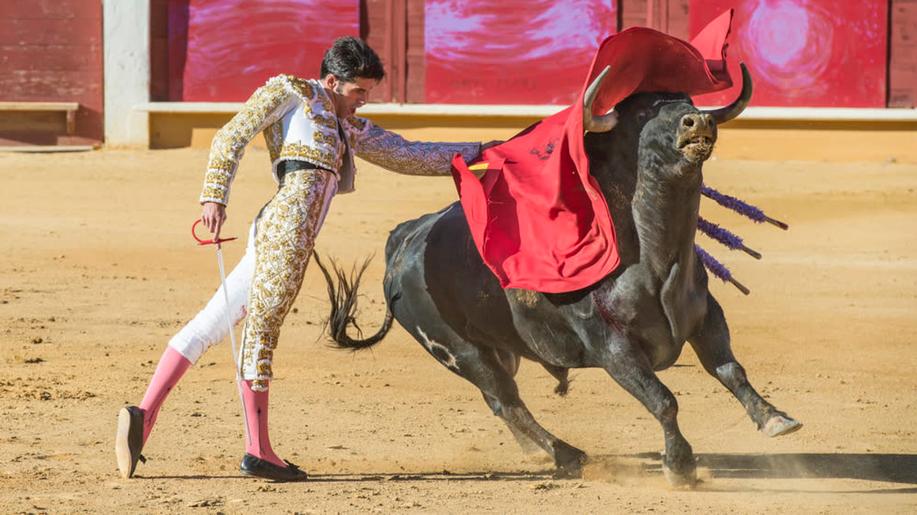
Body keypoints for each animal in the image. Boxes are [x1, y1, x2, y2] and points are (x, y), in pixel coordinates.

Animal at [316, 65, 800, 488]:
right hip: (457, 350)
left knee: (503, 400)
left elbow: (730, 369)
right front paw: (680, 467)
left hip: (498, 348)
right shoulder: (612, 345)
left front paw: (775, 419)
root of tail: (405, 238)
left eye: (690, 100)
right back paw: (570, 456)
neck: (655, 256)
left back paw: (540, 453)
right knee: (505, 401)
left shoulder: (705, 316)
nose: (698, 120)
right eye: (642, 114)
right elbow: (663, 399)